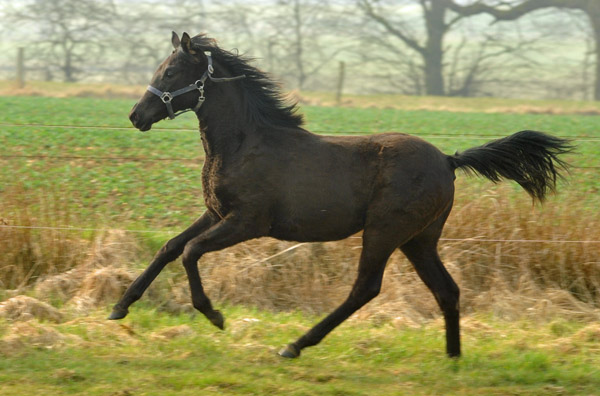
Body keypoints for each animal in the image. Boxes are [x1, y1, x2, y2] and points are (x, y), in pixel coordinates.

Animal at [111, 31, 572, 358]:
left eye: (171, 73)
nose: (135, 115)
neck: (243, 142)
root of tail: (447, 159)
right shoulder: (215, 213)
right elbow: (171, 247)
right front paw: (121, 306)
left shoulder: (247, 222)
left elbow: (190, 253)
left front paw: (215, 316)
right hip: (419, 239)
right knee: (446, 290)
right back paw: (453, 358)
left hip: (385, 231)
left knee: (365, 288)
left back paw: (295, 345)